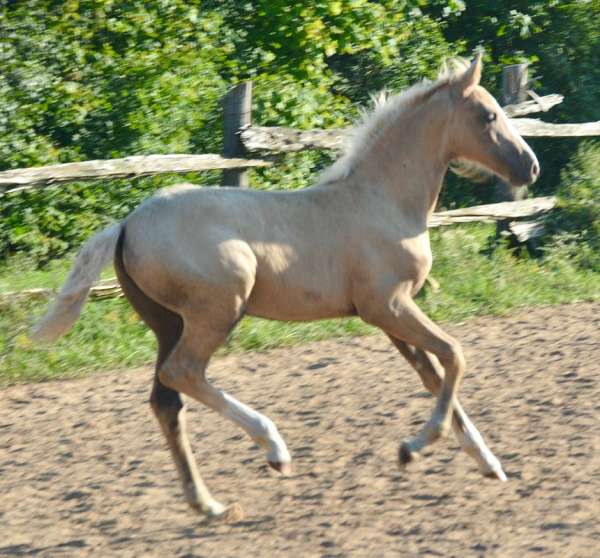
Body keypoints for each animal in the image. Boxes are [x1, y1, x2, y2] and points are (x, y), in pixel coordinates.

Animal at [32, 54, 540, 524]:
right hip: (218, 309)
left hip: (166, 323)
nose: (530, 167)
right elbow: (455, 356)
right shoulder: (388, 306)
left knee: (166, 401)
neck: (383, 200)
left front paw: (490, 464)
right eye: (488, 116)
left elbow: (434, 377)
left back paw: (208, 505)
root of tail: (126, 225)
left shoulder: (392, 318)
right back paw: (273, 448)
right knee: (185, 373)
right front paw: (413, 448)